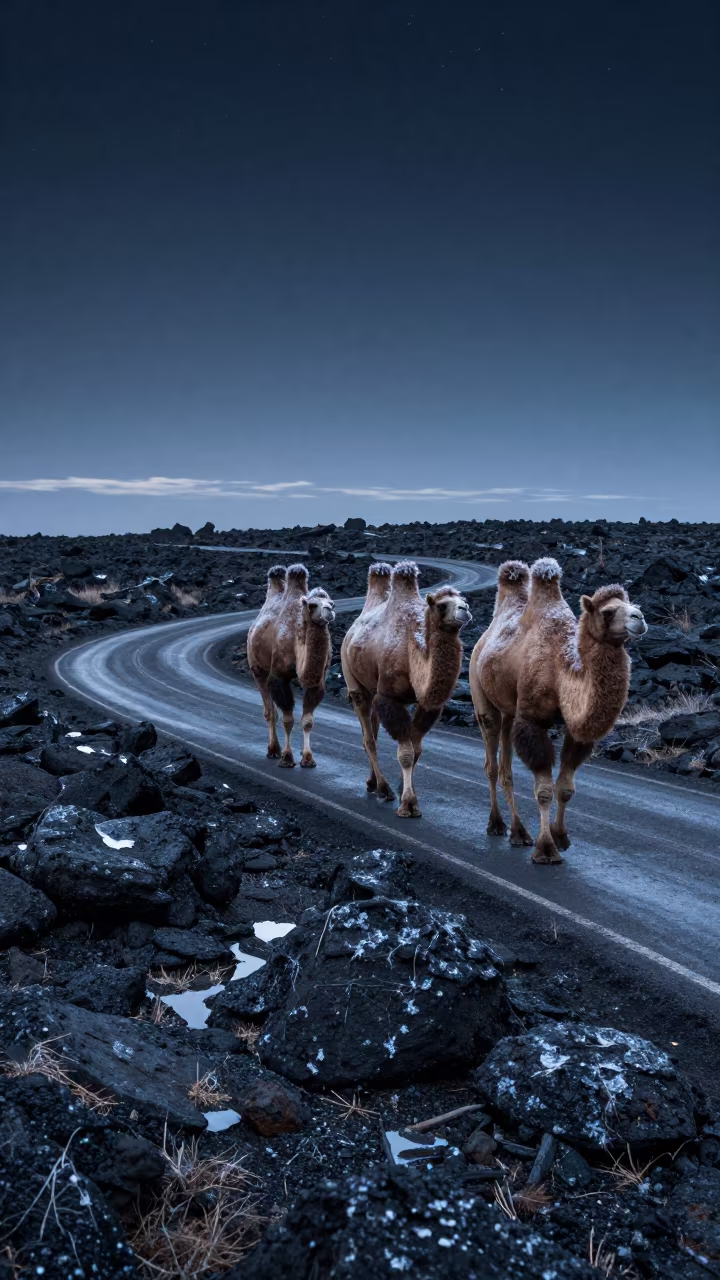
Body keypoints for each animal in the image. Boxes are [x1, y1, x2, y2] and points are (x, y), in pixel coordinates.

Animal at [247, 564, 335, 768]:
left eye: (332, 603)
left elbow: (308, 721)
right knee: (270, 712)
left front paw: (308, 758)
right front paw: (287, 758)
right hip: (257, 669)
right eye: (312, 605)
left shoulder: (318, 682)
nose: (329, 611)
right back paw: (273, 750)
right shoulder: (279, 676)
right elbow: (287, 719)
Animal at [341, 561, 471, 817]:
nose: (465, 609)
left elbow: (417, 747)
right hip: (353, 679)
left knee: (372, 731)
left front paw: (406, 788)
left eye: (463, 599)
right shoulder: (388, 697)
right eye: (442, 605)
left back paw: (373, 783)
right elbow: (406, 752)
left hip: (371, 688)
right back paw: (384, 789)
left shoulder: (429, 704)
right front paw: (408, 803)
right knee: (369, 738)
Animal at [469, 557, 647, 864]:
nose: (640, 618)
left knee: (505, 768)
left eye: (632, 604)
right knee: (491, 763)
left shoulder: (575, 729)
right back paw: (497, 824)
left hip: (509, 712)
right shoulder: (531, 720)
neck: (560, 672)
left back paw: (519, 832)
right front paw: (546, 849)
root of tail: (482, 641)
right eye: (608, 611)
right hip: (480, 693)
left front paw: (561, 837)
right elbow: (544, 791)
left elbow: (565, 788)